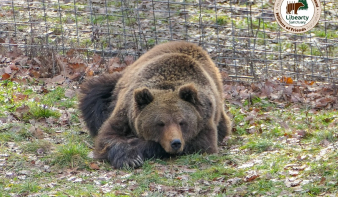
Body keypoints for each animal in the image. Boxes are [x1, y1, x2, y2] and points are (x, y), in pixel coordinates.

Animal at [79, 40, 232, 169]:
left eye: (182, 122)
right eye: (160, 123)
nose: (175, 143)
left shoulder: (204, 119)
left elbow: (201, 144)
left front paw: (136, 146)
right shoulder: (126, 111)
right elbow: (108, 136)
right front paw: (129, 158)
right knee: (95, 97)